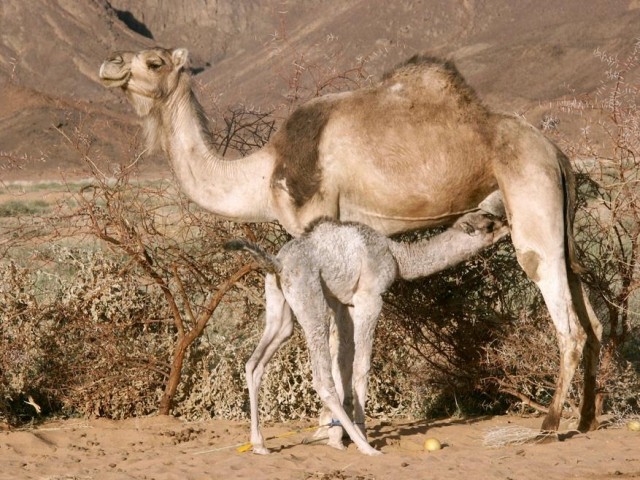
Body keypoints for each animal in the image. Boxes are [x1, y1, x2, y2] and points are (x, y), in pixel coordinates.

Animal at [225, 212, 509, 455]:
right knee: (321, 378)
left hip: (279, 304)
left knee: (255, 362)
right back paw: (366, 447)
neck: (397, 257)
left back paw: (260, 445)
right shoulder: (369, 298)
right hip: (309, 299)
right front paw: (358, 435)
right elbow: (361, 367)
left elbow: (344, 367)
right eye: (489, 225)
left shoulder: (344, 304)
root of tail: (278, 263)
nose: (508, 224)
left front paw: (335, 440)